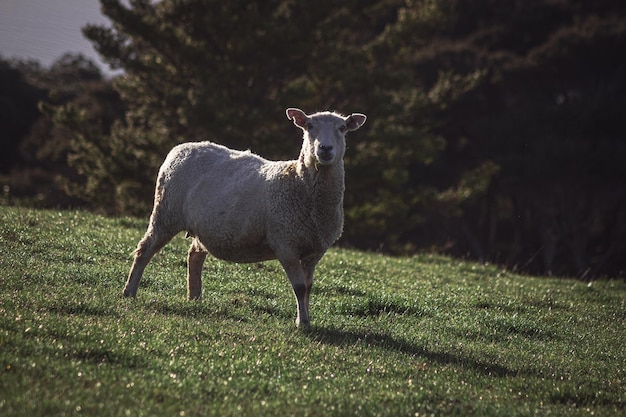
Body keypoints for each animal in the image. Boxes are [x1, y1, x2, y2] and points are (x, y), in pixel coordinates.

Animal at [122, 106, 366, 324]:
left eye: (342, 128)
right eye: (309, 126)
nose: (325, 149)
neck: (300, 185)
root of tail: (181, 148)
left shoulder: (314, 250)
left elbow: (308, 288)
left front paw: (304, 318)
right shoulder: (285, 243)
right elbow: (298, 288)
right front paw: (303, 323)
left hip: (203, 225)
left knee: (194, 256)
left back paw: (194, 298)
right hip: (166, 212)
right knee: (145, 250)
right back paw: (129, 292)